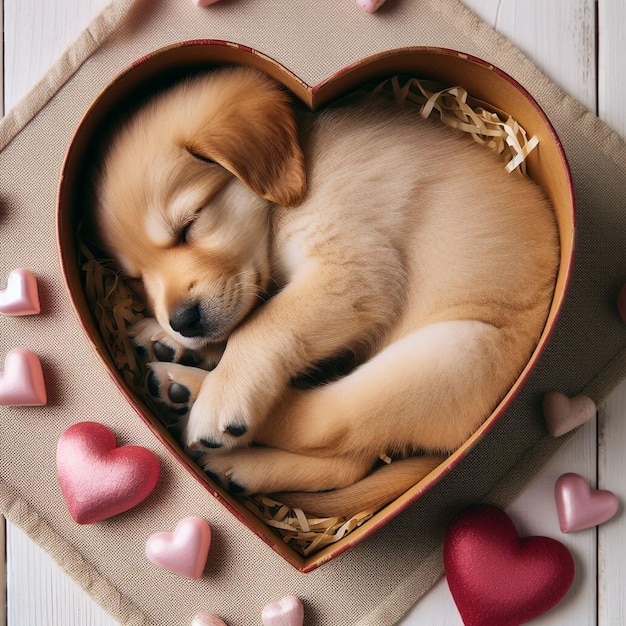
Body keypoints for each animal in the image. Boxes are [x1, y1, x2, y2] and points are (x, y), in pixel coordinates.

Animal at [94, 67, 556, 516]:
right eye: (136, 277)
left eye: (189, 223)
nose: (182, 322)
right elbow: (248, 318)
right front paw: (172, 338)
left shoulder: (354, 272)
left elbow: (263, 324)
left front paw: (222, 389)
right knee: (347, 460)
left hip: (449, 353)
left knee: (325, 426)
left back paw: (194, 395)